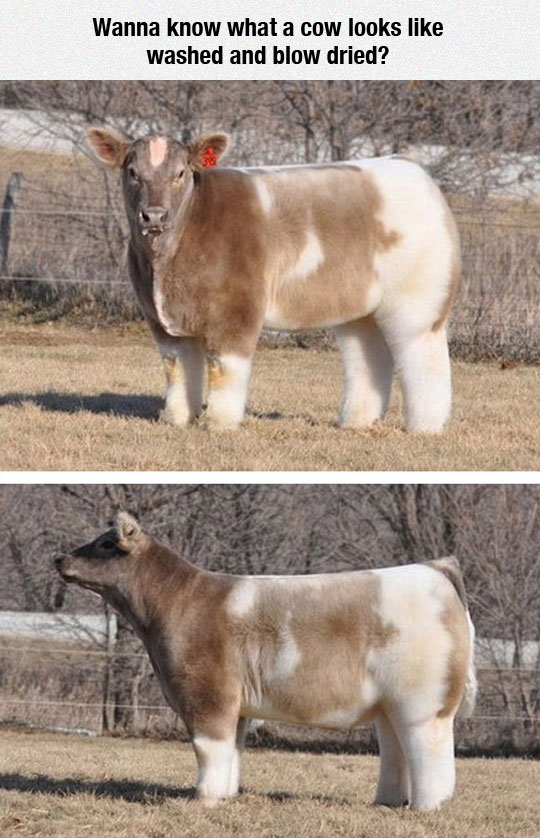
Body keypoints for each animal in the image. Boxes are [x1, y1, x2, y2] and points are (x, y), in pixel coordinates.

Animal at [55, 512, 476, 809]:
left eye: (107, 543)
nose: (59, 557)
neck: (177, 602)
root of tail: (434, 568)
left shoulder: (208, 694)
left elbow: (208, 747)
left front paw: (204, 799)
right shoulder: (236, 705)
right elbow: (233, 750)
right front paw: (226, 795)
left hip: (421, 702)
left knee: (429, 750)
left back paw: (428, 807)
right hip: (390, 705)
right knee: (395, 749)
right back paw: (388, 801)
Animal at [86, 127, 459, 432]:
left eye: (180, 173)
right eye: (132, 172)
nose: (154, 215)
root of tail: (411, 167)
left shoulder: (237, 310)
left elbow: (224, 369)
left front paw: (219, 423)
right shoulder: (161, 320)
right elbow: (177, 370)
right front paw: (176, 419)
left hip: (417, 303)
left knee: (423, 359)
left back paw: (425, 426)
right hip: (361, 309)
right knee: (367, 357)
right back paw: (356, 421)